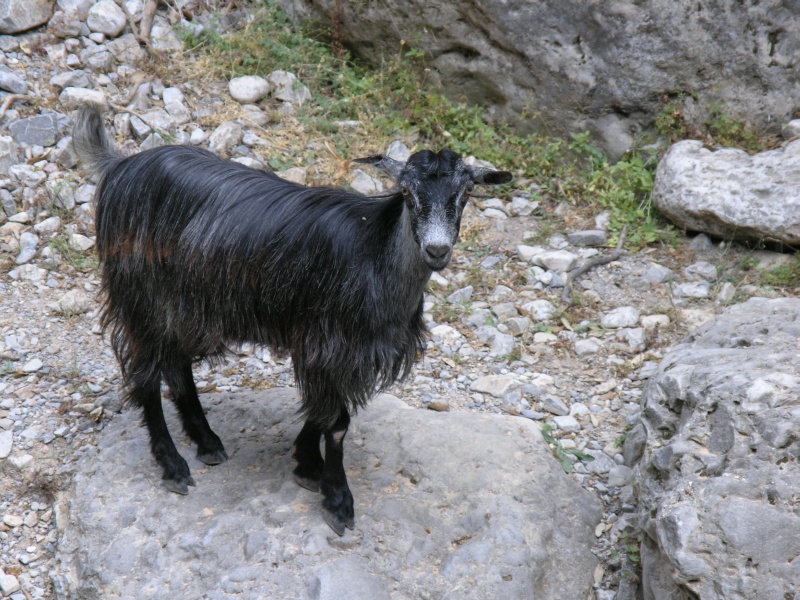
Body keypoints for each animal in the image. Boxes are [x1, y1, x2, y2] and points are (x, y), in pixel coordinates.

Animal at [73, 104, 512, 536]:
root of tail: (121, 166)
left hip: (185, 305)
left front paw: (306, 463)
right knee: (145, 374)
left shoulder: (335, 352)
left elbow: (321, 412)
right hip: (140, 295)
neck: (374, 254)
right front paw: (337, 499)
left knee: (177, 364)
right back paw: (173, 465)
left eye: (467, 193)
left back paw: (207, 441)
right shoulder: (327, 344)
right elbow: (336, 421)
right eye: (406, 191)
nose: (437, 251)